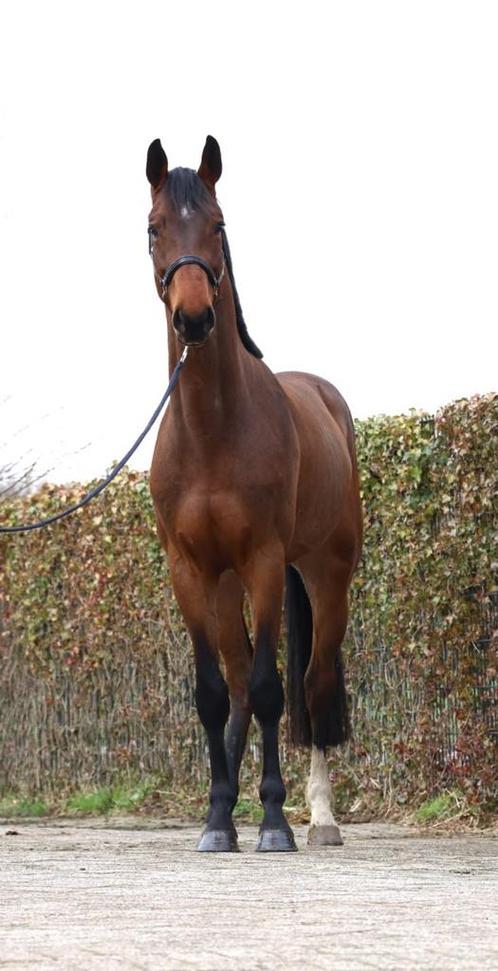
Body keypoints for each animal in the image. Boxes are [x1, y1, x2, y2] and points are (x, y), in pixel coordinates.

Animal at [146, 135, 360, 852]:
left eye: (218, 226)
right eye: (154, 227)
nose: (194, 318)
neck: (212, 431)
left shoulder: (265, 559)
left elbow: (272, 688)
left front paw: (273, 821)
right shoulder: (191, 570)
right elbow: (214, 692)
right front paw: (218, 818)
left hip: (325, 574)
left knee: (313, 684)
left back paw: (320, 818)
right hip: (225, 584)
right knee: (237, 684)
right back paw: (226, 806)